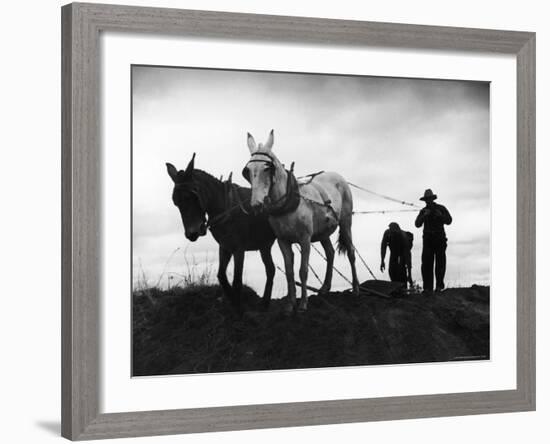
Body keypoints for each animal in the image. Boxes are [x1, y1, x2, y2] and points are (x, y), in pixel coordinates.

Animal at [164, 154, 276, 310]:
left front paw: (239, 309)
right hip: (264, 246)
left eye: (193, 196)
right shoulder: (225, 247)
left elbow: (237, 281)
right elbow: (221, 276)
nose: (192, 233)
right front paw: (231, 299)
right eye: (176, 202)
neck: (226, 206)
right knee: (271, 270)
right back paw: (264, 304)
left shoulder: (238, 249)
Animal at [244, 131, 360, 312]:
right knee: (330, 253)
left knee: (351, 252)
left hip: (346, 222)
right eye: (248, 170)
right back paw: (325, 288)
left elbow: (303, 270)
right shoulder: (283, 241)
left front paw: (303, 304)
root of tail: (338, 177)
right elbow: (289, 271)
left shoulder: (305, 239)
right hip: (323, 232)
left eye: (267, 168)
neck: (286, 205)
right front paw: (290, 304)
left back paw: (355, 289)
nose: (256, 204)